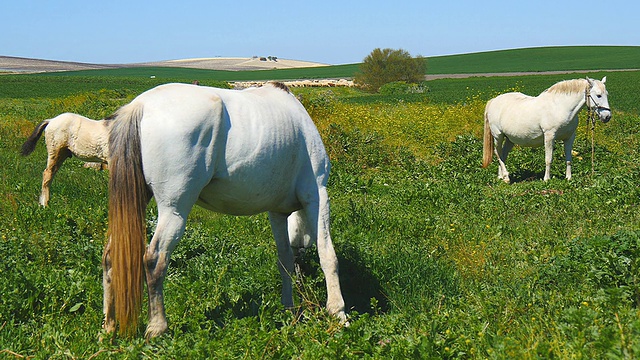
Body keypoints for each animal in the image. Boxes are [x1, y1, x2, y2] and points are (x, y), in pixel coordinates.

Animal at [103, 81, 348, 338]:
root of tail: (141, 105)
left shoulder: (277, 213)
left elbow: (285, 260)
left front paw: (289, 310)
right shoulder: (317, 194)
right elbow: (328, 255)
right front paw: (338, 313)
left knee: (110, 257)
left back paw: (108, 327)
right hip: (174, 210)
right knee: (154, 259)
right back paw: (157, 327)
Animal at [482, 77, 612, 181]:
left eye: (606, 94)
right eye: (598, 95)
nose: (607, 116)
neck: (561, 107)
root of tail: (493, 101)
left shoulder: (569, 138)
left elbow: (569, 158)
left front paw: (568, 178)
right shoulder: (549, 136)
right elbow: (548, 159)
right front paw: (546, 179)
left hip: (510, 139)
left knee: (503, 154)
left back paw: (501, 176)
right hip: (498, 136)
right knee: (498, 153)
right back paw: (506, 177)